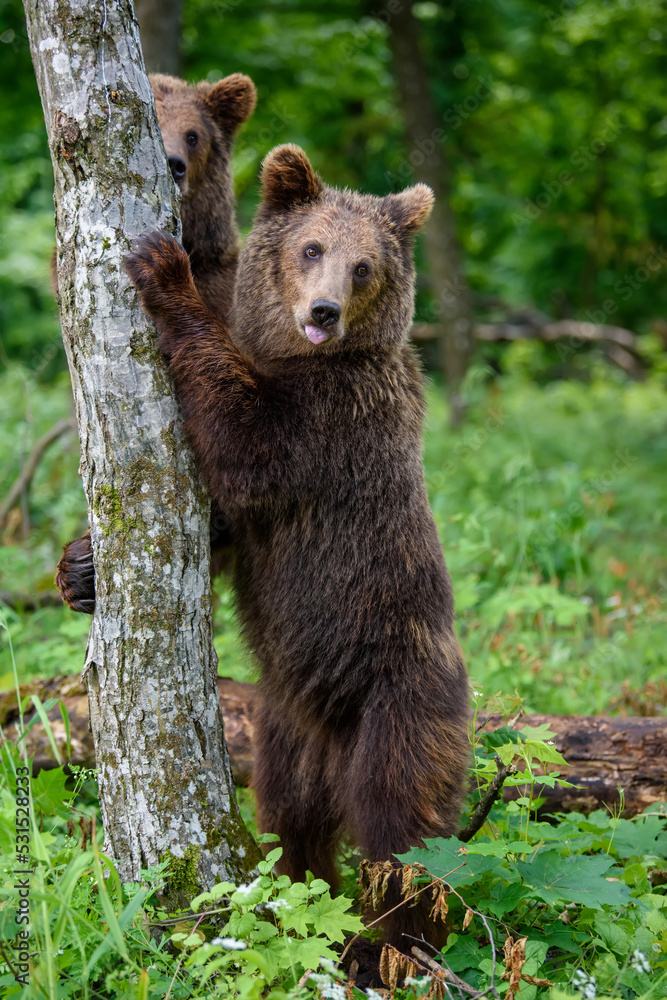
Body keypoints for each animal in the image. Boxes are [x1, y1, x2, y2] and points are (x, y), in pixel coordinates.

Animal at [125, 146, 470, 944]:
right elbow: (222, 530)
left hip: (401, 707)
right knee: (294, 826)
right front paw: (80, 567)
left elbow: (244, 444)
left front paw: (164, 271)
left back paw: (391, 945)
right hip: (281, 733)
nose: (323, 311)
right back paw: (313, 912)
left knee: (403, 835)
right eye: (311, 248)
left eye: (364, 266)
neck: (293, 356)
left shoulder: (335, 420)